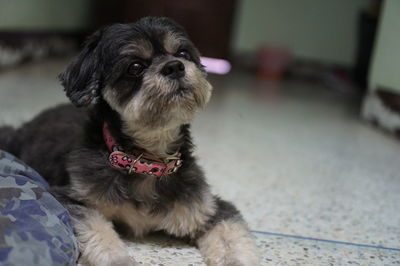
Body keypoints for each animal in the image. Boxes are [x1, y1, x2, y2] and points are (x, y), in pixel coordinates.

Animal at [0, 17, 260, 266]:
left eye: (184, 54)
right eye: (135, 67)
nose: (174, 66)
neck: (147, 161)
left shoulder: (209, 209)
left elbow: (230, 238)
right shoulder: (69, 198)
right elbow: (97, 230)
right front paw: (120, 259)